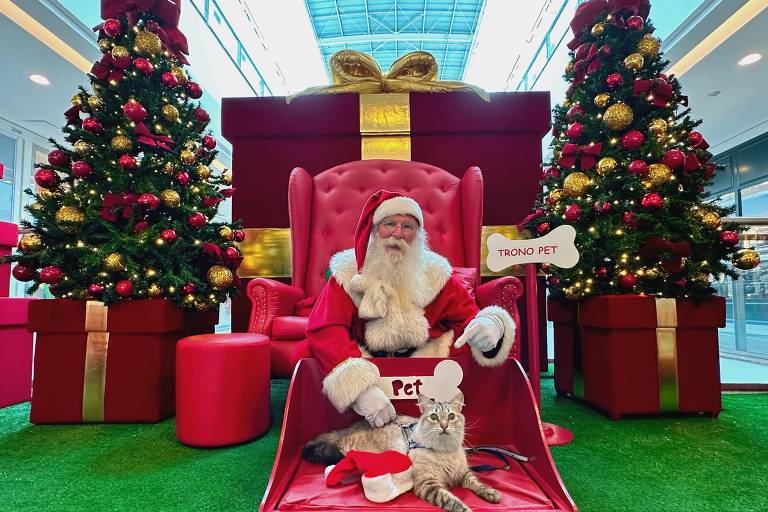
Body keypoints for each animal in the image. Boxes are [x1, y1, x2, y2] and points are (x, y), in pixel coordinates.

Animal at [304, 390, 500, 510]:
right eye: (434, 417)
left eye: (451, 416)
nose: (444, 426)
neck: (444, 452)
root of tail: (355, 426)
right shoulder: (428, 484)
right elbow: (453, 501)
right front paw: (466, 508)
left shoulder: (463, 473)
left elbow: (477, 483)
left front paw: (490, 493)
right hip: (351, 445)